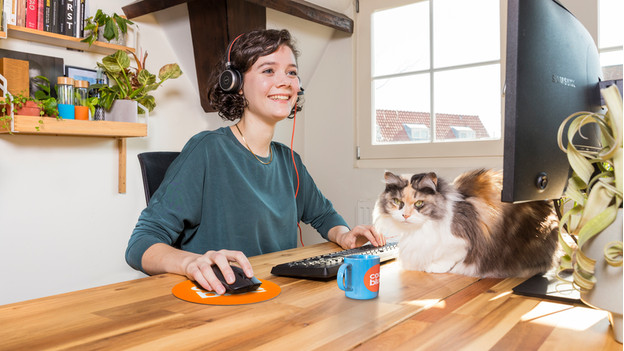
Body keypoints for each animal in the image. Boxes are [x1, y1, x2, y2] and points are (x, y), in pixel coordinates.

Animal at [372, 169, 560, 280]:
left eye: (419, 204)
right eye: (397, 202)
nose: (405, 215)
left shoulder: (463, 240)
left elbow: (451, 256)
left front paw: (433, 267)